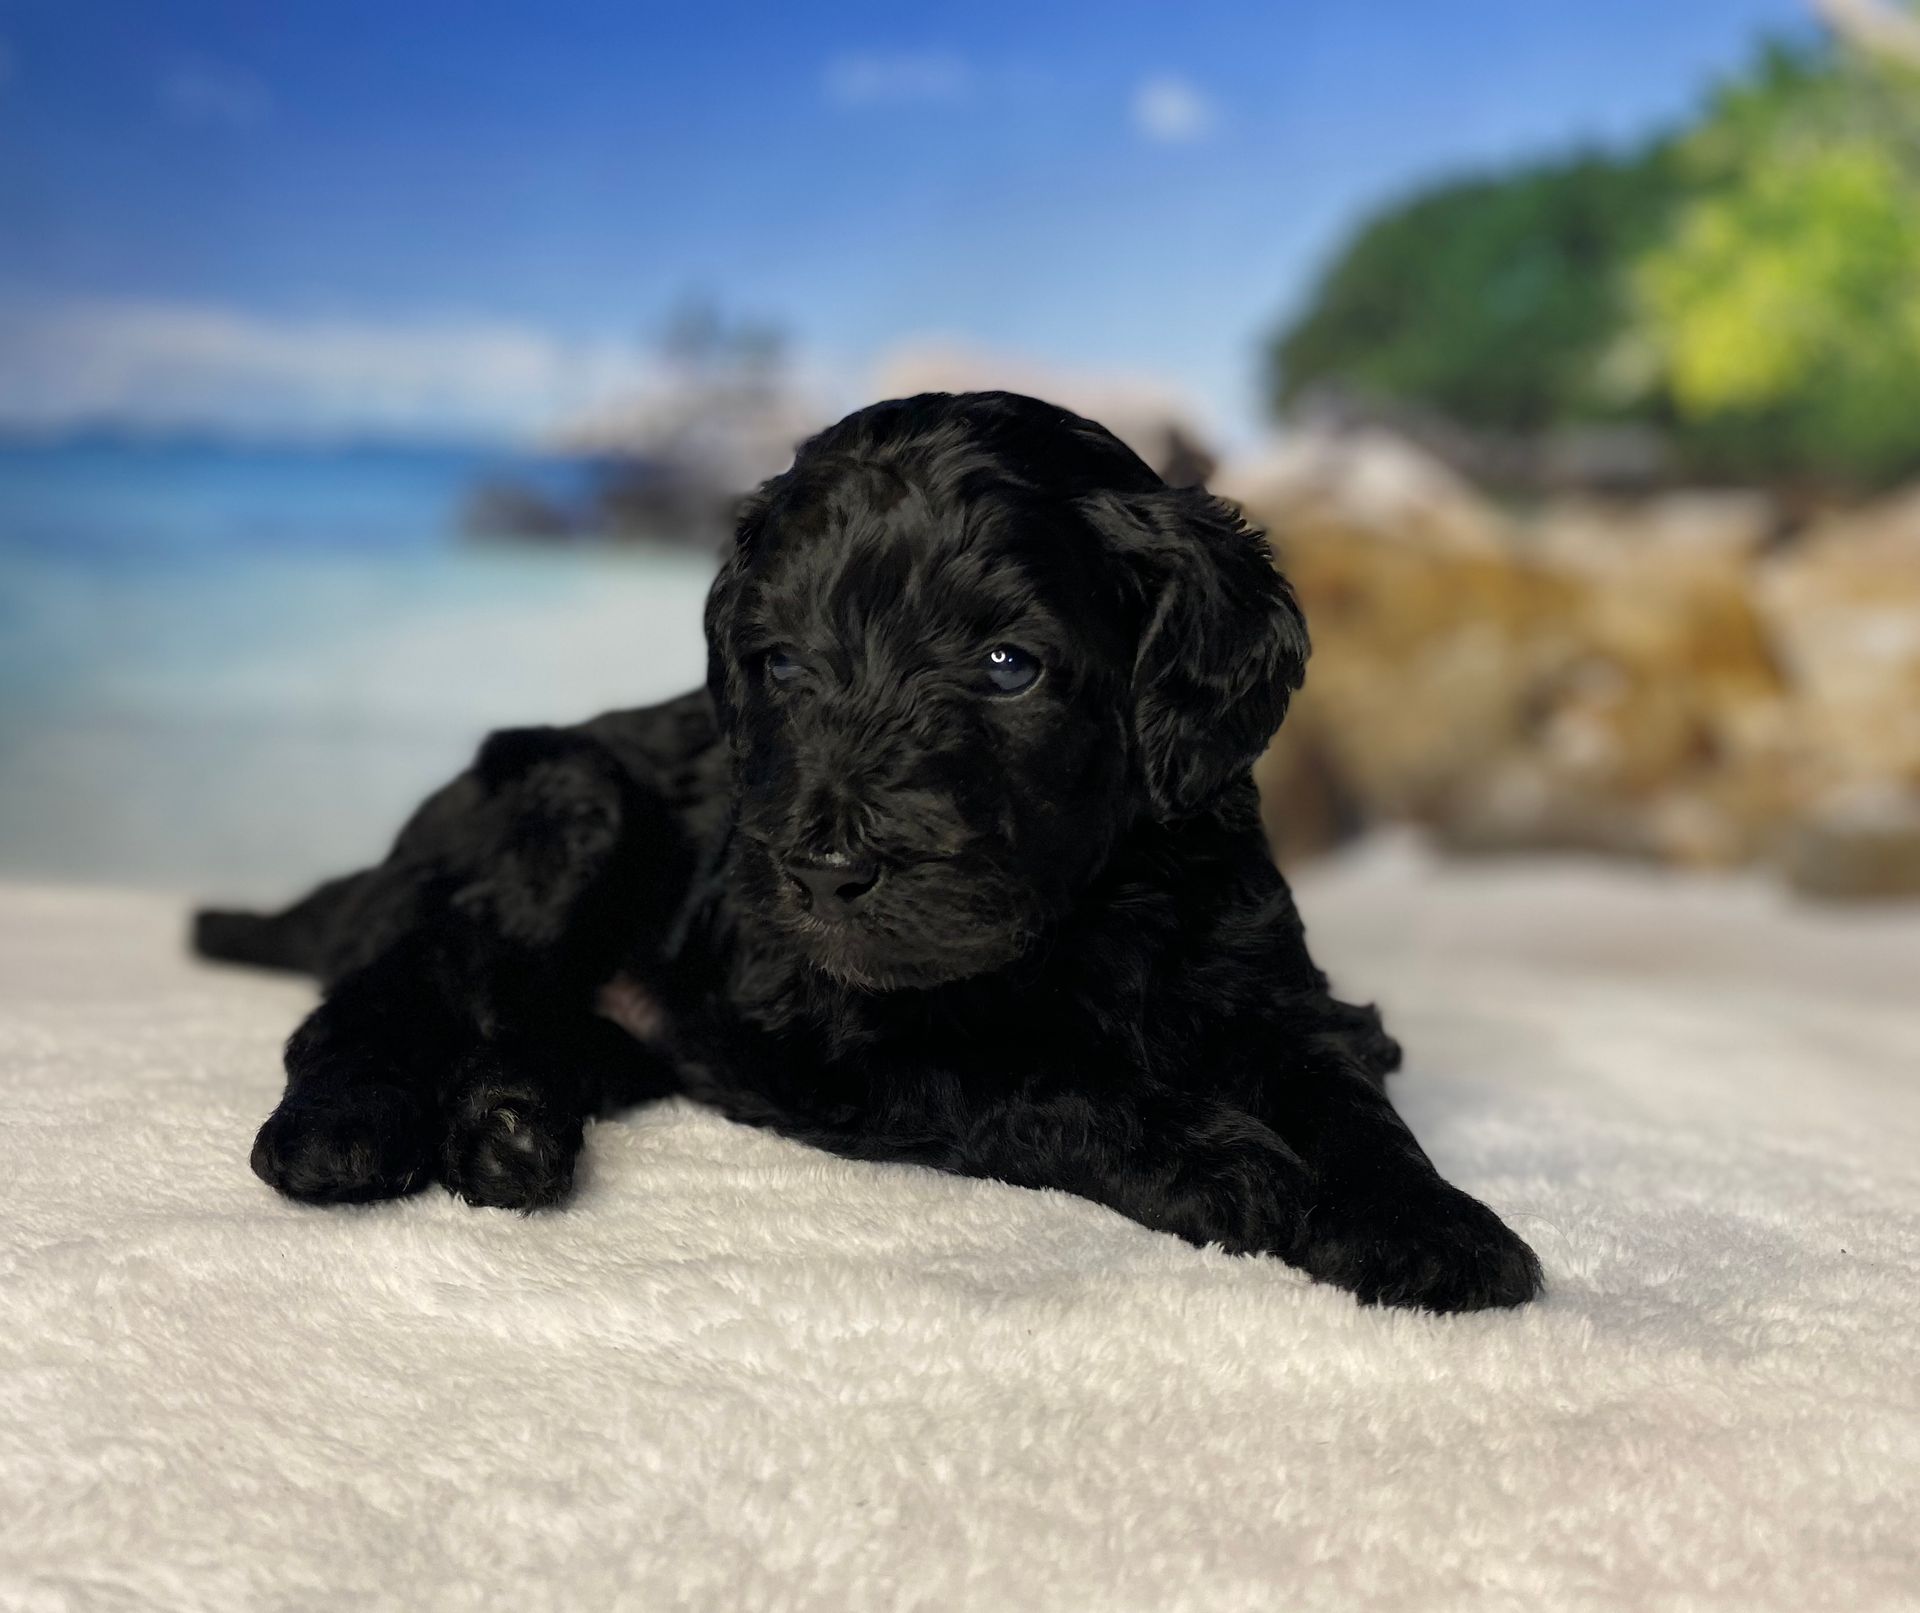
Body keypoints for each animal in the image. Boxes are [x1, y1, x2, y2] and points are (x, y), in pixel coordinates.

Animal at [194, 389, 1543, 1313]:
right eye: (783, 664)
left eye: (1009, 664)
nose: (825, 873)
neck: (1092, 909)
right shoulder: (844, 1026)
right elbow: (1045, 1078)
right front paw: (1230, 1161)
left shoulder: (1269, 980)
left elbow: (1350, 1093)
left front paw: (1433, 1227)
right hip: (558, 805)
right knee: (378, 996)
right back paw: (343, 1130)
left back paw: (509, 1133)